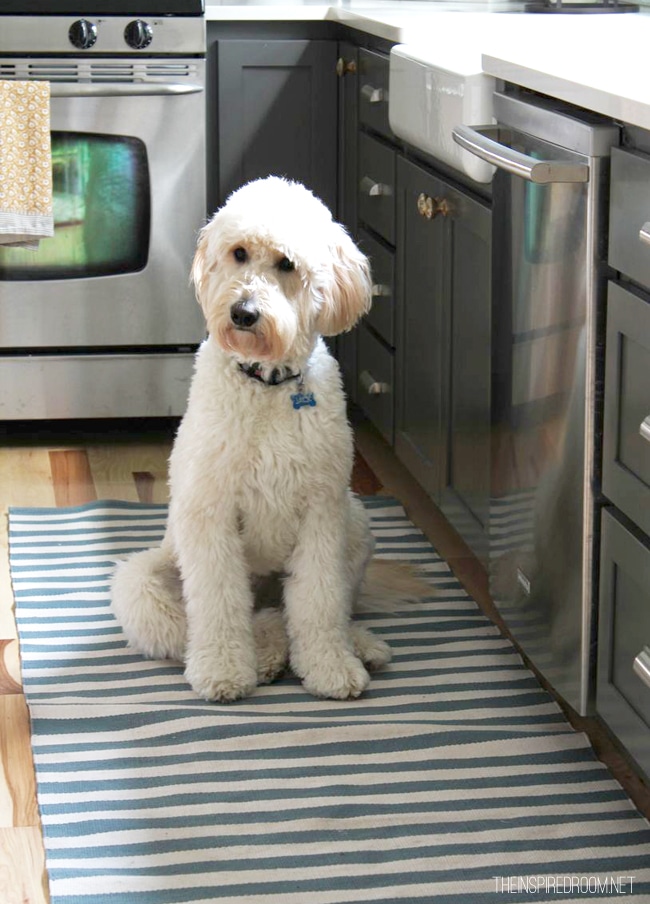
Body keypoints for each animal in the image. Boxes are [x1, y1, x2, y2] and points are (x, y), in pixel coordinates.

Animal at [110, 175, 422, 700]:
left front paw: (330, 666)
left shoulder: (321, 512)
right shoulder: (210, 513)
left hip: (355, 522)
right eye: (238, 253)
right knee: (237, 619)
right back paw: (268, 652)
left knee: (320, 606)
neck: (269, 382)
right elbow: (219, 604)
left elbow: (320, 601)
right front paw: (224, 672)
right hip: (143, 581)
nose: (243, 313)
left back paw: (358, 644)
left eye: (287, 264)